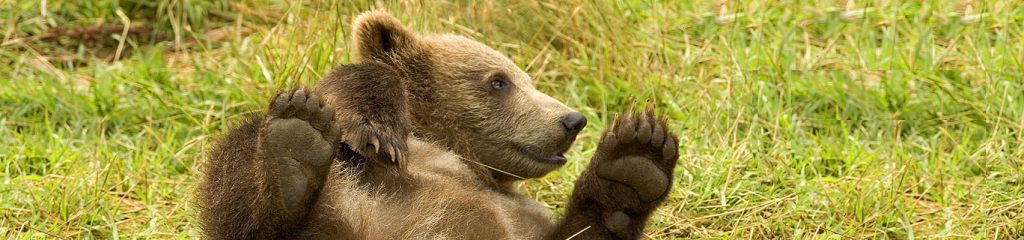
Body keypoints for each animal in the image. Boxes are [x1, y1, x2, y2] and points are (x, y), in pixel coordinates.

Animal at [198, 11, 679, 240]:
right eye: (499, 81)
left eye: (527, 78)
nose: (571, 120)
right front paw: (377, 131)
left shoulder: (522, 221)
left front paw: (634, 162)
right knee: (240, 172)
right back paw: (293, 151)